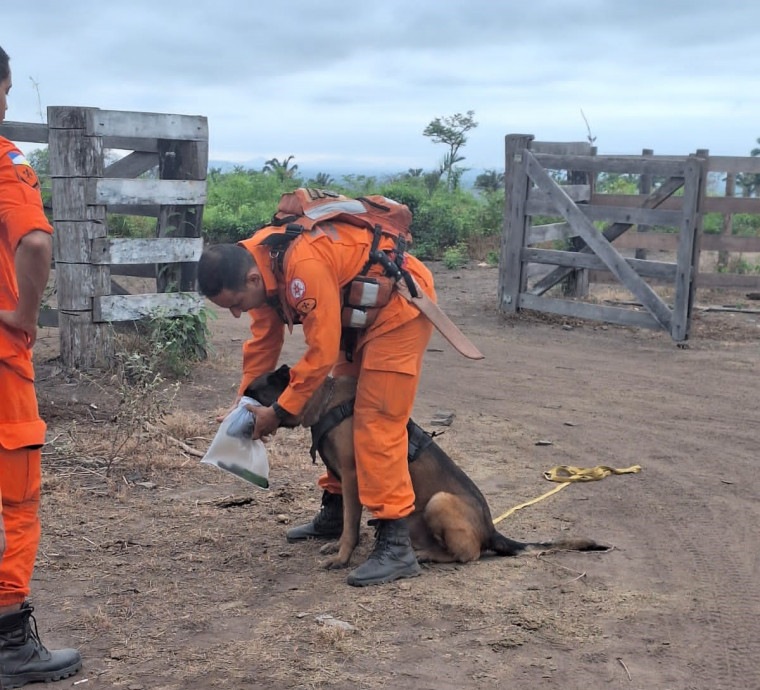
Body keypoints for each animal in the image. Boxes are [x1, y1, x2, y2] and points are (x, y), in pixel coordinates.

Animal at [246, 362, 608, 568]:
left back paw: (428, 557)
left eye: (255, 391)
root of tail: (491, 529)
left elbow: (350, 525)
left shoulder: (351, 478)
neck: (326, 401)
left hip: (439, 502)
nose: (240, 403)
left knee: (468, 555)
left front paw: (342, 557)